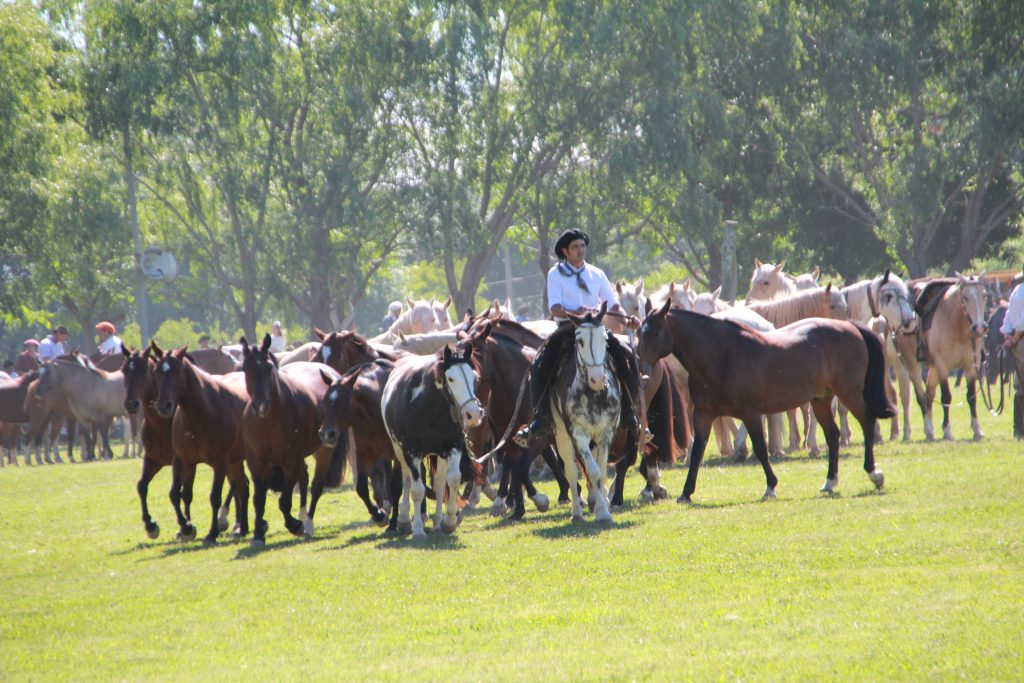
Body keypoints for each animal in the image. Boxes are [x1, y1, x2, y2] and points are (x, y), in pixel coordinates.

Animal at [153, 348, 249, 544]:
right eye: (157, 371)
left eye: (177, 371)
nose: (163, 406)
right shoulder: (183, 460)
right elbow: (177, 494)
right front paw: (186, 527)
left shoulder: (220, 462)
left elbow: (215, 497)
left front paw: (212, 533)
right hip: (235, 461)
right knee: (243, 489)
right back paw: (242, 528)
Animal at [238, 333, 339, 548]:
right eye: (245, 368)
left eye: (268, 367)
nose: (261, 405)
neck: (269, 419)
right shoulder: (256, 462)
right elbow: (258, 499)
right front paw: (258, 535)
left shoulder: (290, 459)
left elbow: (284, 500)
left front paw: (294, 526)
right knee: (304, 478)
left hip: (323, 450)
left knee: (315, 486)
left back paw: (307, 523)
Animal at [634, 301, 892, 505]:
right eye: (639, 331)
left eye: (655, 332)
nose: (642, 369)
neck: (721, 355)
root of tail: (851, 327)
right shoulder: (703, 415)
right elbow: (697, 451)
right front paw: (686, 493)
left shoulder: (750, 413)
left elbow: (760, 448)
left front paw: (771, 486)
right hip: (821, 399)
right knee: (833, 435)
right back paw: (830, 481)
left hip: (850, 393)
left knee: (868, 424)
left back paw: (874, 473)